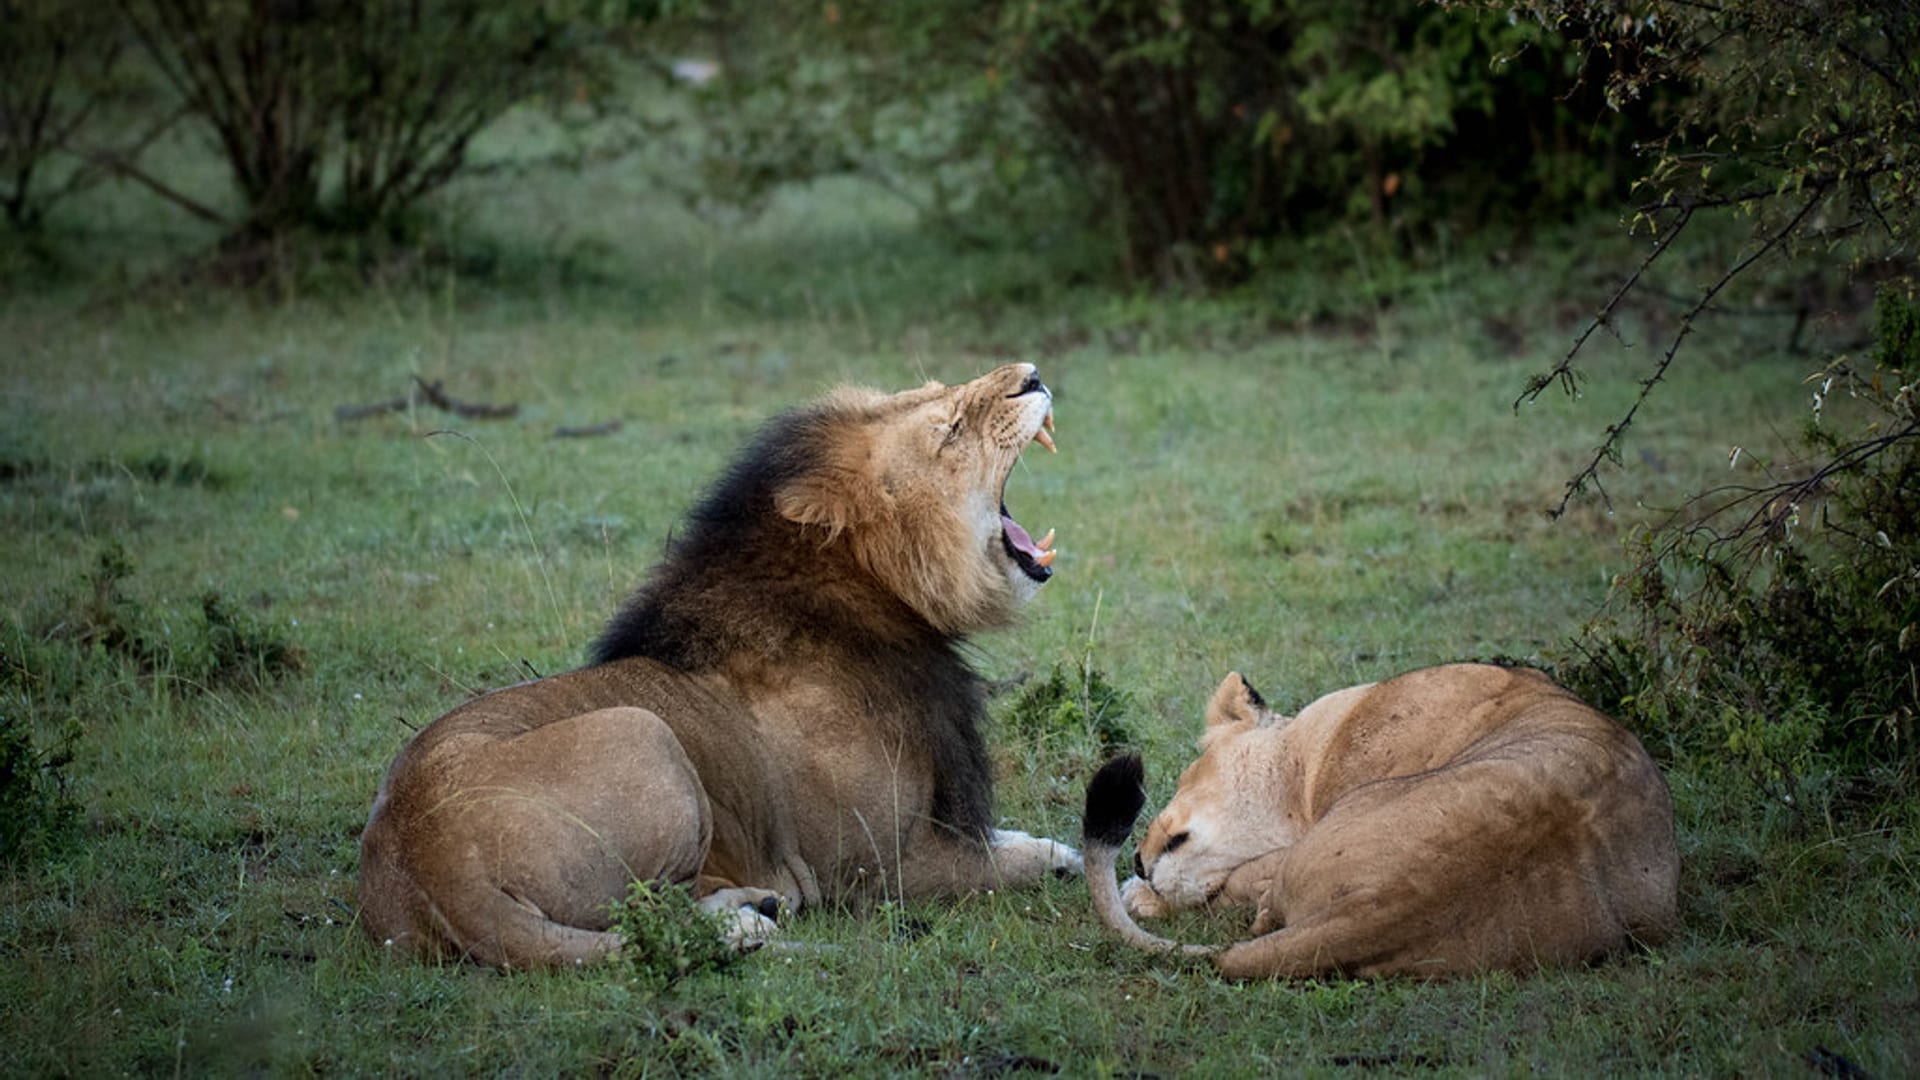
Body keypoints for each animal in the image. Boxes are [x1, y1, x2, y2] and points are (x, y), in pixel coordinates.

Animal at [358, 363, 1081, 969]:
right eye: (948, 430)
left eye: (932, 390)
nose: (1031, 374)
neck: (883, 603)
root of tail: (433, 862)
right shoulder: (872, 869)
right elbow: (1005, 865)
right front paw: (1058, 855)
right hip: (643, 731)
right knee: (648, 918)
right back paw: (749, 918)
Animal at [1082, 664, 1679, 979]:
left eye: (1186, 775)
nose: (1138, 858)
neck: (1307, 759)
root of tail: (1388, 903)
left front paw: (1142, 893)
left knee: (1257, 913)